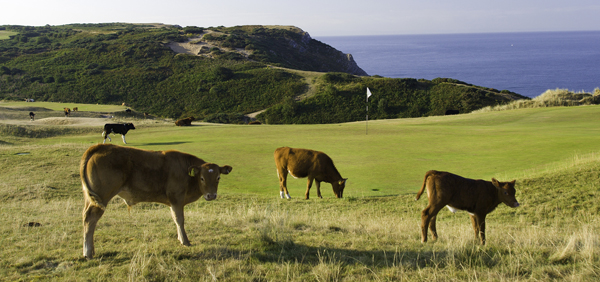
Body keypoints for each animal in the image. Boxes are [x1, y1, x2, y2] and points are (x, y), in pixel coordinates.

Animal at [82, 144, 234, 258]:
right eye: (202, 178)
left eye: (218, 177)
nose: (211, 195)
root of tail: (101, 146)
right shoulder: (176, 199)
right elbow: (179, 219)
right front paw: (185, 241)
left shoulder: (173, 202)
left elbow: (175, 219)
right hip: (102, 197)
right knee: (91, 219)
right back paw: (88, 252)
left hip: (90, 199)